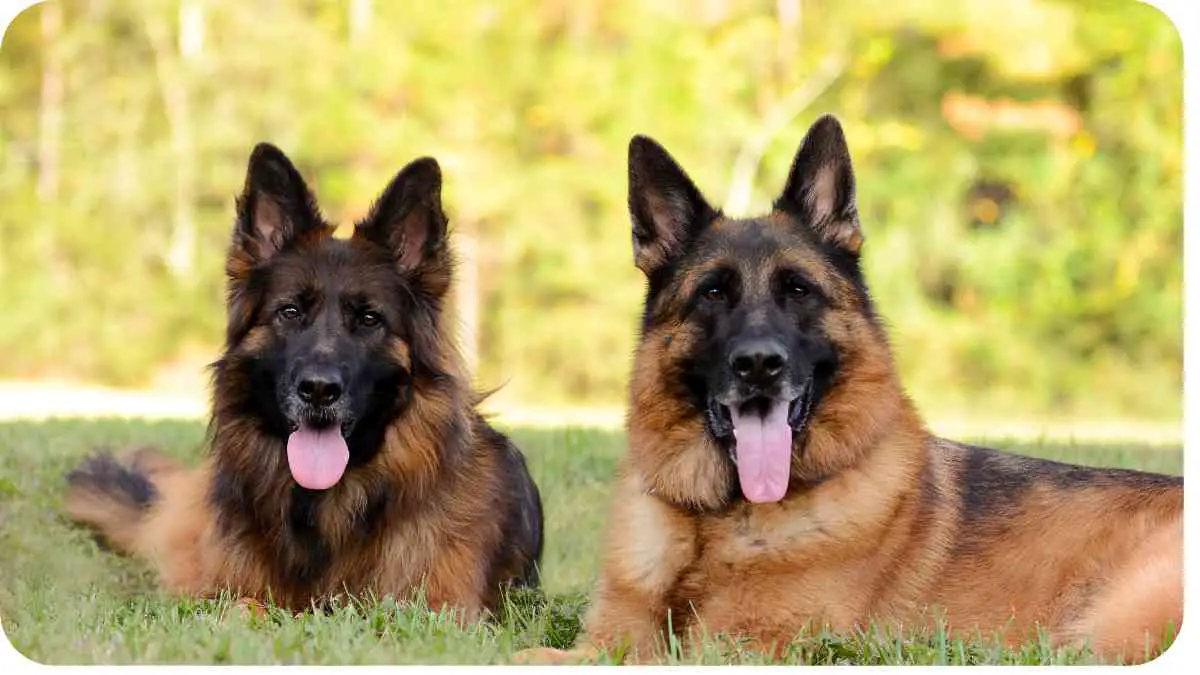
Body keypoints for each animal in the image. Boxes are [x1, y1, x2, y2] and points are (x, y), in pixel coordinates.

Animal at [65, 144, 544, 619]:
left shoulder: (439, 609)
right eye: (290, 311)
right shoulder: (223, 590)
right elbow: (242, 607)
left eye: (369, 319)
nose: (318, 390)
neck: (330, 505)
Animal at [516, 115, 1180, 662]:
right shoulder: (606, 642)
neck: (715, 524)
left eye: (798, 290)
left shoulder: (737, 650)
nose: (759, 365)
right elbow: (530, 653)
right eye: (713, 293)